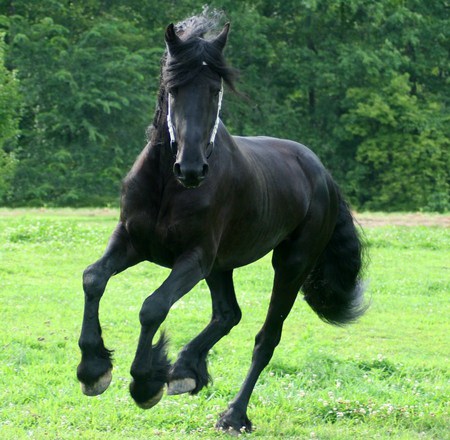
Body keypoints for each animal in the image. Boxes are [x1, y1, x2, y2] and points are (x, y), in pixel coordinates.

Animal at [76, 13, 366, 434]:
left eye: (215, 90)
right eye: (173, 88)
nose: (192, 168)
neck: (167, 184)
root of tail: (322, 174)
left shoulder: (194, 258)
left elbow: (153, 306)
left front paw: (145, 382)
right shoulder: (132, 242)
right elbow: (94, 278)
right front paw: (93, 369)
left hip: (289, 265)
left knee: (266, 338)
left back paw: (233, 414)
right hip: (222, 266)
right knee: (228, 314)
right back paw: (185, 370)